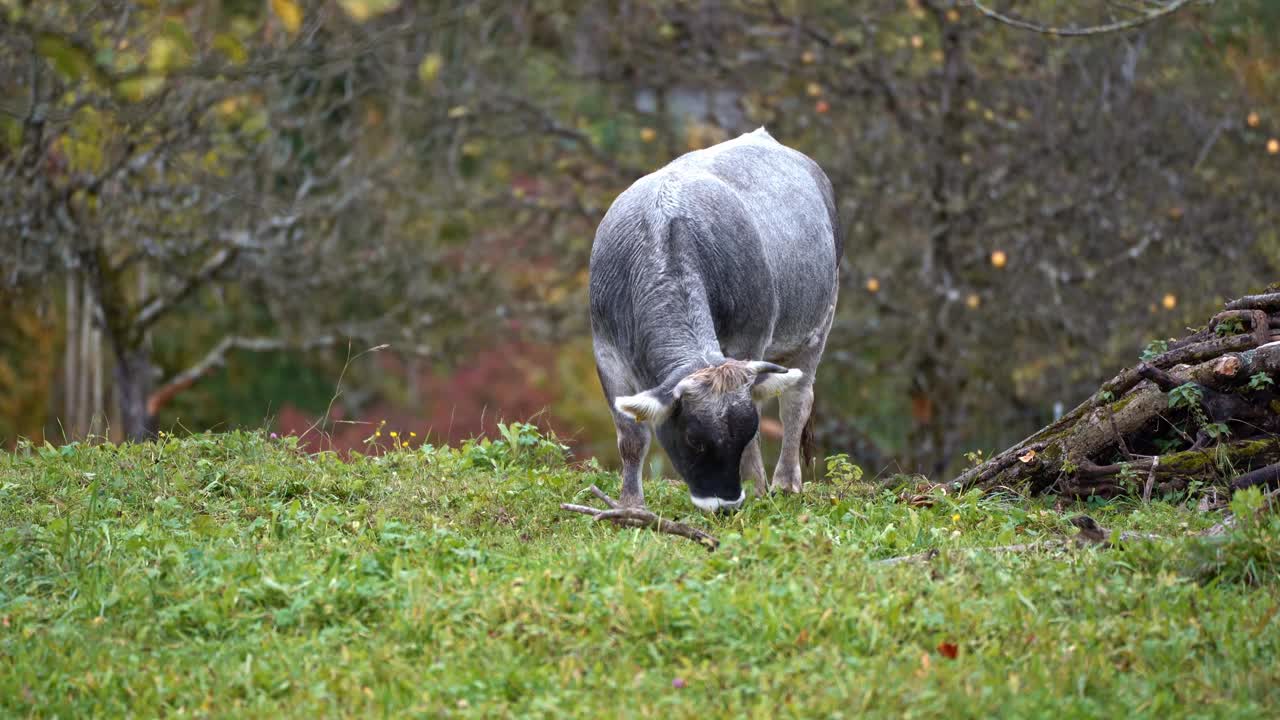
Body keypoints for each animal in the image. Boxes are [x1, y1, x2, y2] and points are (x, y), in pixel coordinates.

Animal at [586, 128, 839, 509]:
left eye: (745, 430)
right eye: (694, 439)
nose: (726, 505)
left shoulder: (749, 342)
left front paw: (757, 487)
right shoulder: (607, 353)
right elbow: (631, 436)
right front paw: (631, 504)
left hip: (818, 326)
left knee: (797, 401)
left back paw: (784, 482)